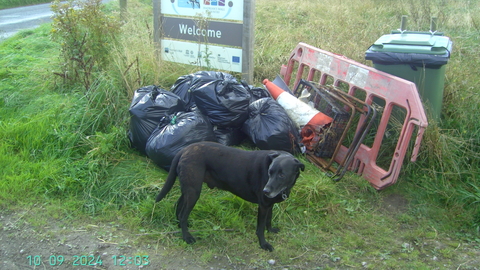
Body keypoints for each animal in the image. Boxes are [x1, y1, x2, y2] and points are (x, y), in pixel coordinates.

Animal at [156, 141, 306, 251]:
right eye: (270, 172)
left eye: (282, 175)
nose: (266, 191)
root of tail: (185, 149)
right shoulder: (263, 205)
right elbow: (260, 228)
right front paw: (264, 244)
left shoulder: (269, 204)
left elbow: (268, 220)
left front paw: (271, 230)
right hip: (193, 191)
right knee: (183, 213)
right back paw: (187, 237)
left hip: (189, 189)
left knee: (179, 206)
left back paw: (181, 227)